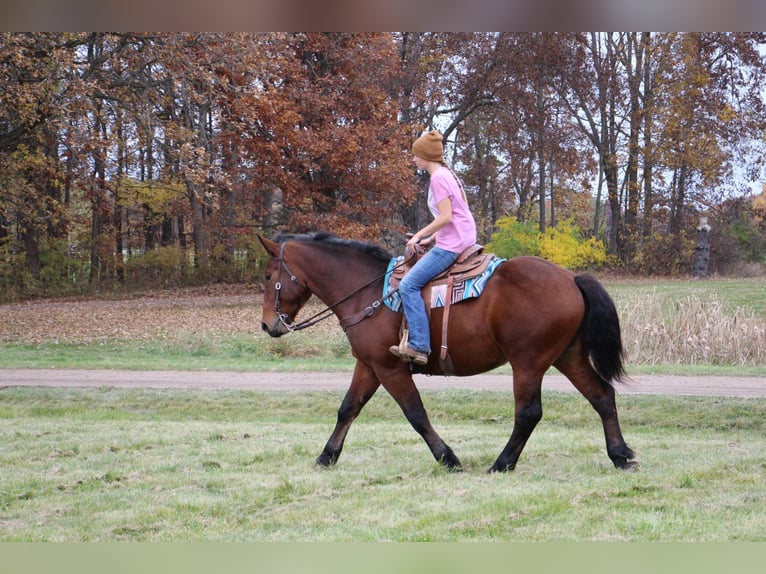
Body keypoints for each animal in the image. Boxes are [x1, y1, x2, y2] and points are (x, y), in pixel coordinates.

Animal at [258, 232, 636, 474]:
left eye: (267, 275)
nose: (267, 325)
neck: (368, 291)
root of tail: (572, 278)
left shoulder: (390, 368)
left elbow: (416, 414)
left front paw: (448, 458)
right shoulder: (369, 365)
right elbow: (347, 409)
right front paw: (327, 456)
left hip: (528, 363)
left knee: (529, 413)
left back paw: (502, 463)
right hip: (567, 357)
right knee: (602, 396)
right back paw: (620, 455)